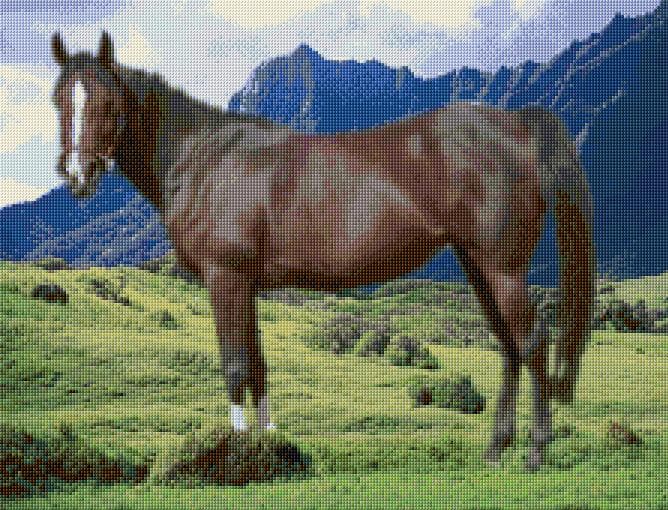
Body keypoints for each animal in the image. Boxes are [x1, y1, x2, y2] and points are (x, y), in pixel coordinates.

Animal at [50, 31, 595, 470]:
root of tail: (515, 124)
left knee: (531, 342)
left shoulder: (224, 276)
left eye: (106, 101)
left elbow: (235, 364)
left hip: (502, 267)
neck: (203, 159)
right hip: (478, 264)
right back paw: (495, 451)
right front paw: (269, 444)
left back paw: (534, 452)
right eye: (59, 99)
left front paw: (236, 450)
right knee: (508, 347)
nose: (77, 176)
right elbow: (258, 366)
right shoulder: (248, 284)